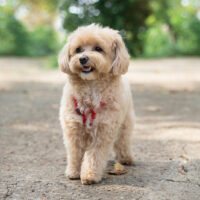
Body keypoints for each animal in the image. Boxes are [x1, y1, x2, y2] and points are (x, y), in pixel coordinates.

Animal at [58, 24, 135, 185]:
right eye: (78, 49)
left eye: (98, 48)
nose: (83, 58)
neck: (91, 87)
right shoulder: (73, 129)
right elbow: (74, 153)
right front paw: (73, 171)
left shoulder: (103, 130)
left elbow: (94, 155)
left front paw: (89, 175)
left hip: (126, 123)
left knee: (123, 141)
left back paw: (126, 158)